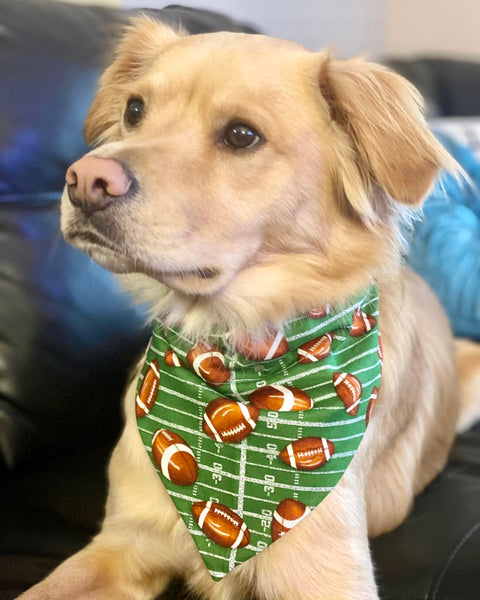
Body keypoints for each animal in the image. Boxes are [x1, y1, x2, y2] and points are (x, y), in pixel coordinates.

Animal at [18, 16, 480, 600]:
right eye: (135, 110)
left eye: (242, 136)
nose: (84, 180)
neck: (235, 356)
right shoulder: (120, 544)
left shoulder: (329, 575)